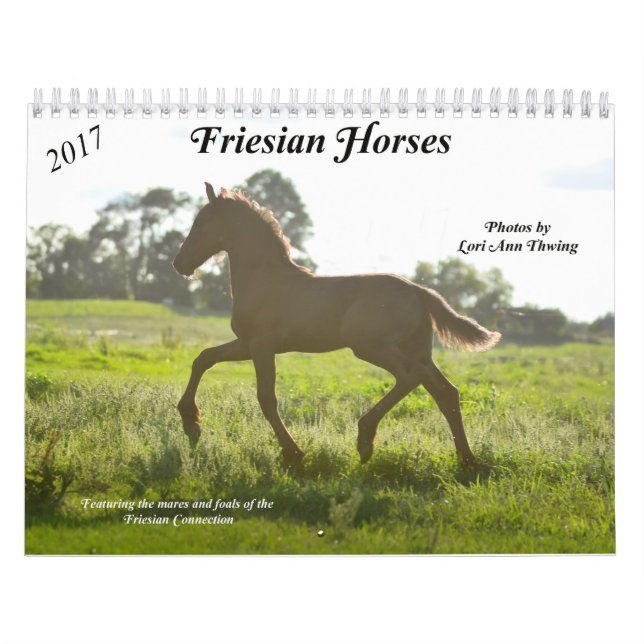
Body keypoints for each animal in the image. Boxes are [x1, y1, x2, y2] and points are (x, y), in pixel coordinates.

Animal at [172, 183, 501, 467]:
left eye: (202, 222)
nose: (179, 264)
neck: (265, 279)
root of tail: (418, 291)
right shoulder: (247, 344)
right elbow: (204, 358)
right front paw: (191, 422)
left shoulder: (262, 346)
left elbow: (266, 398)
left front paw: (293, 452)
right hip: (417, 351)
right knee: (446, 392)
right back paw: (468, 460)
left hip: (370, 347)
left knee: (411, 377)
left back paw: (366, 437)